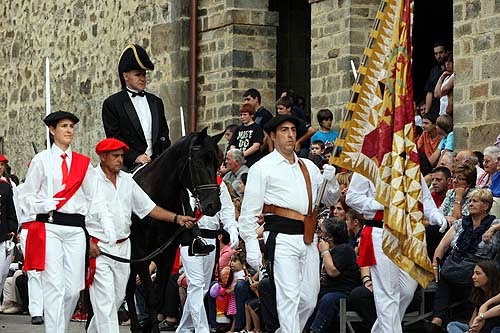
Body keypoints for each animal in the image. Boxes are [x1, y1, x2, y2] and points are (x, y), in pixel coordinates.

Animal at [125, 128, 221, 330]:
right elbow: (150, 298)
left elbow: (157, 298)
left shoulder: (166, 255)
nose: (213, 205)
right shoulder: (141, 253)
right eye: (198, 163)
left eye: (217, 162)